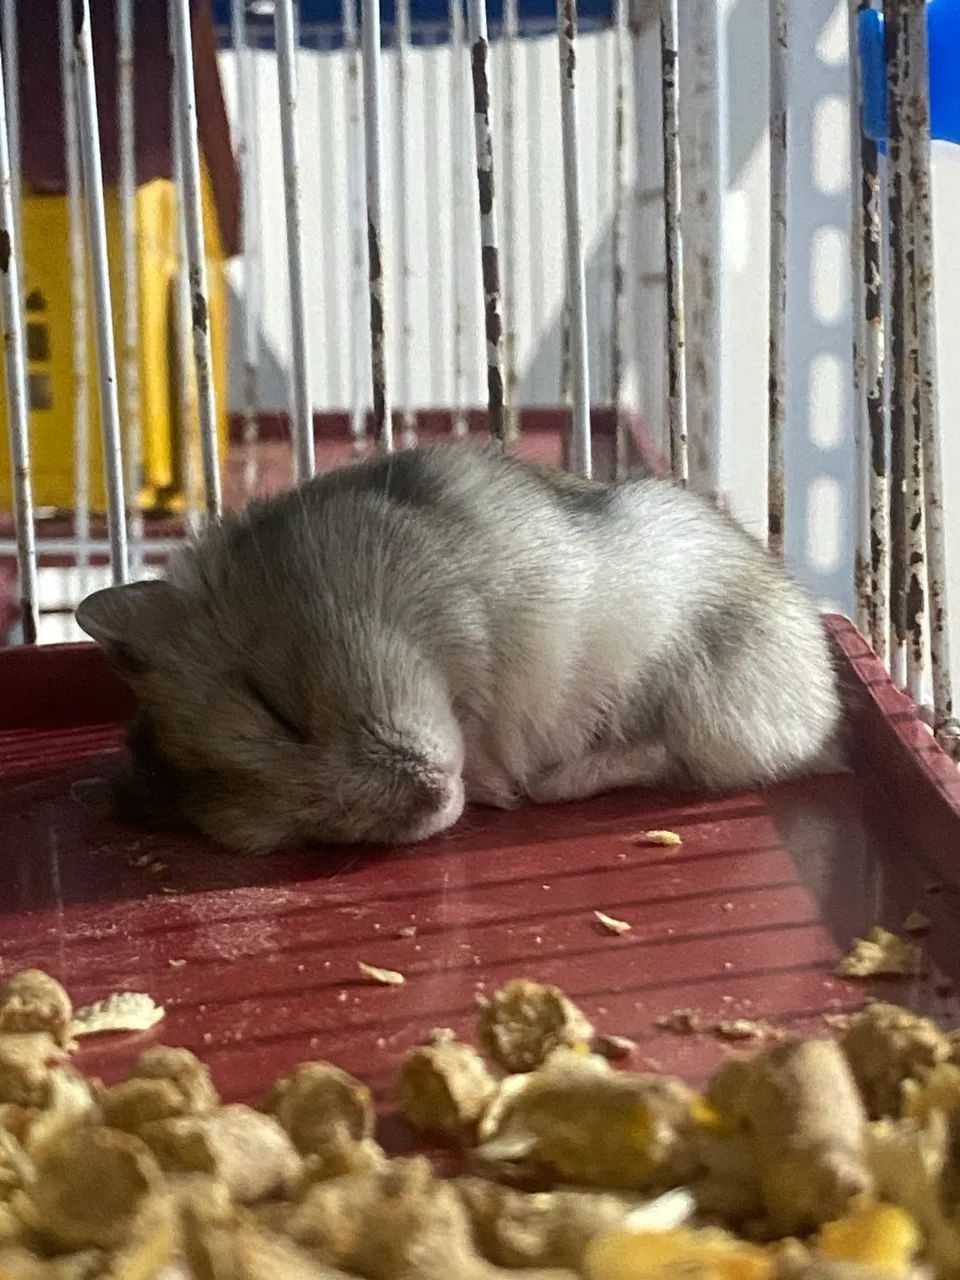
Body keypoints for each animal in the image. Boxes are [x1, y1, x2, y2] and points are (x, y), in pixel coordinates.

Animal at [76, 444, 841, 854]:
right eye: (302, 830)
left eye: (275, 704)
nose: (435, 792)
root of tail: (826, 710)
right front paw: (494, 790)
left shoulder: (472, 611)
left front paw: (498, 779)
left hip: (724, 687)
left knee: (689, 753)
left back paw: (554, 779)